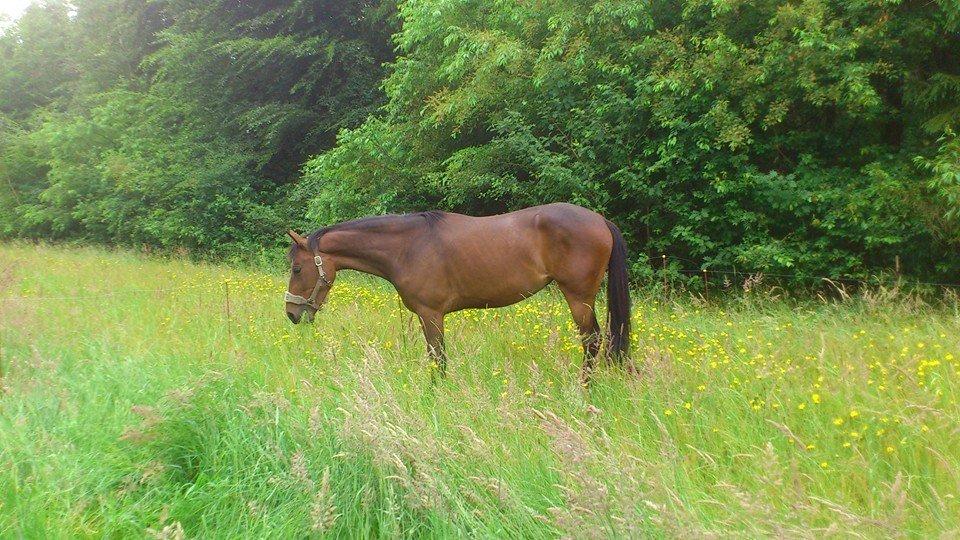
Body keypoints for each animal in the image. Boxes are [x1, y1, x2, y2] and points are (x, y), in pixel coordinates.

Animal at [284, 201, 632, 380]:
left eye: (297, 268)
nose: (291, 313)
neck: (408, 247)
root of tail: (600, 221)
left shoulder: (431, 314)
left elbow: (438, 359)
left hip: (578, 297)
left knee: (592, 340)